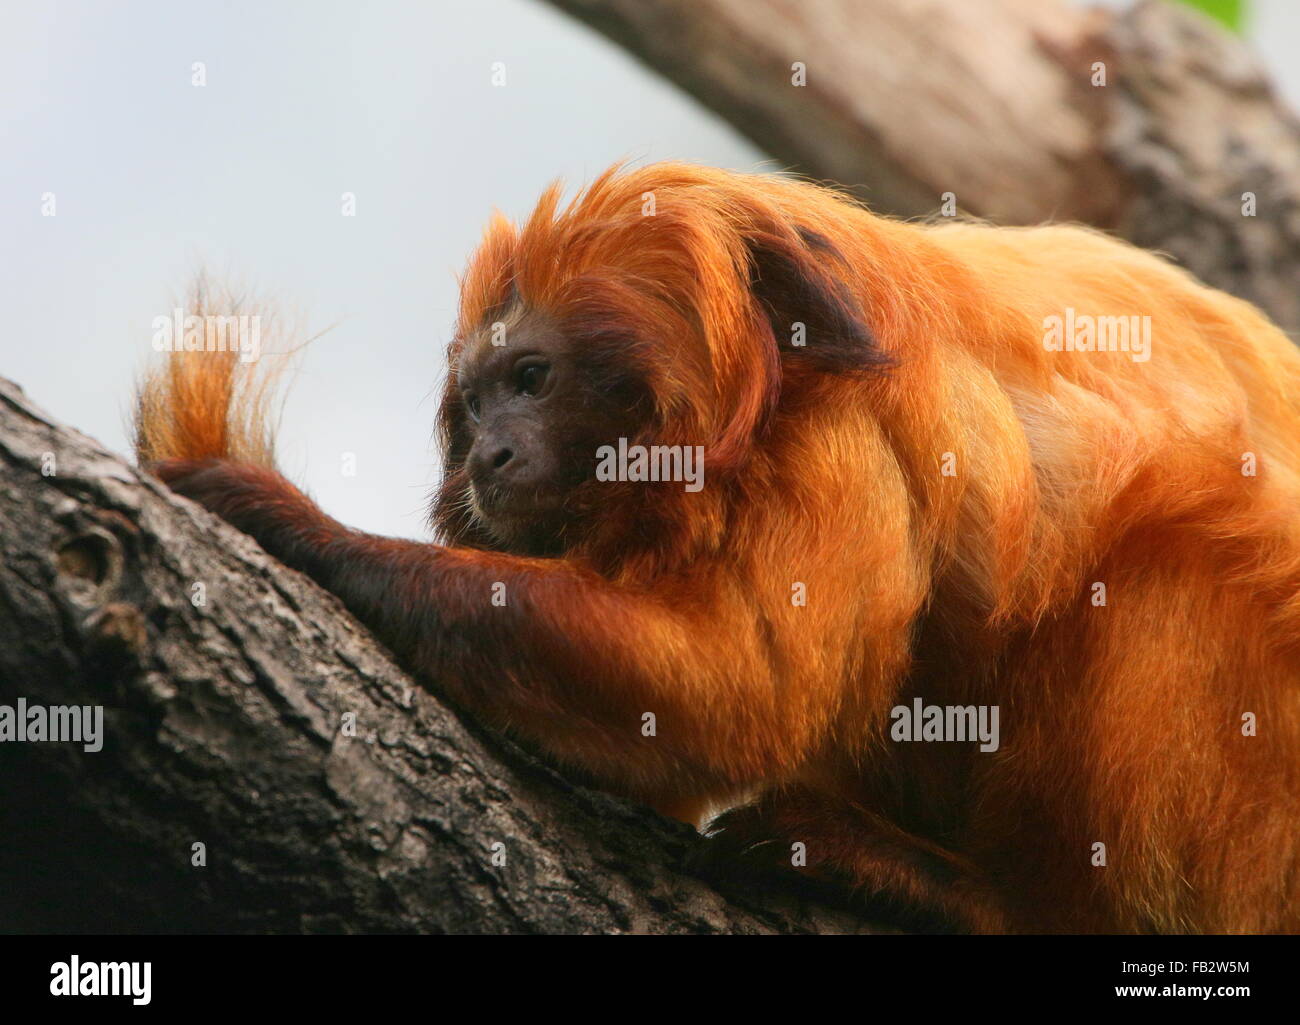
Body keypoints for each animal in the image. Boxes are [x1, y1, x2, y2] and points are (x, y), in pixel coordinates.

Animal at [137, 158, 1300, 931]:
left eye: (530, 380)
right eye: (473, 405)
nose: (491, 456)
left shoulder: (843, 435)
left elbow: (741, 688)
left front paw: (289, 518)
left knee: (1157, 571)